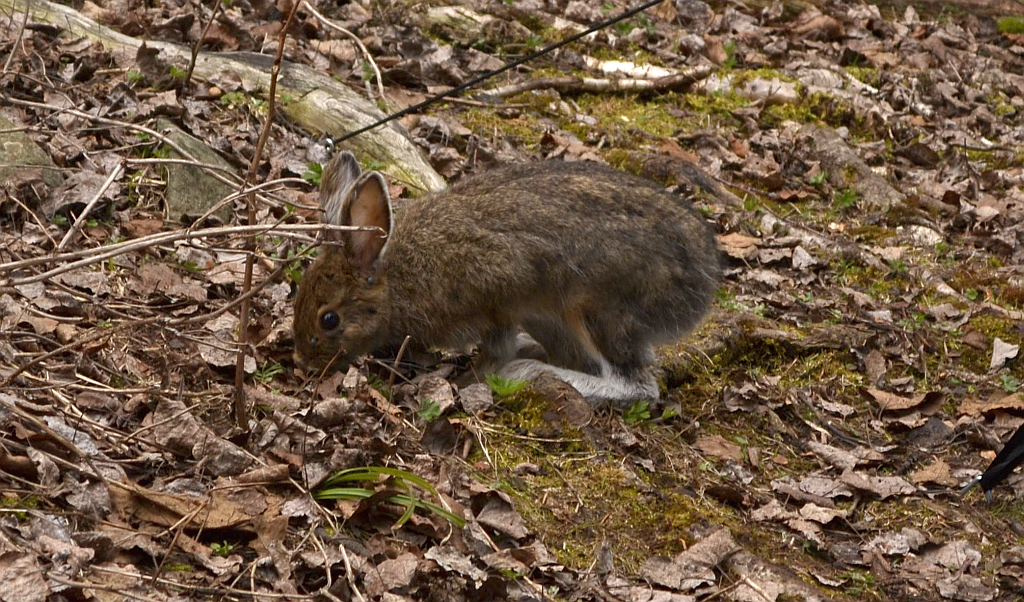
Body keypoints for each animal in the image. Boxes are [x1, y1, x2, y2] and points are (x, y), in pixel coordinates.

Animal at [292, 152, 720, 407]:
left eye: (328, 319)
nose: (303, 359)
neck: (395, 278)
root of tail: (704, 282)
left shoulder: (493, 301)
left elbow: (494, 349)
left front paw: (473, 380)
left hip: (598, 309)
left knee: (634, 385)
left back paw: (531, 372)